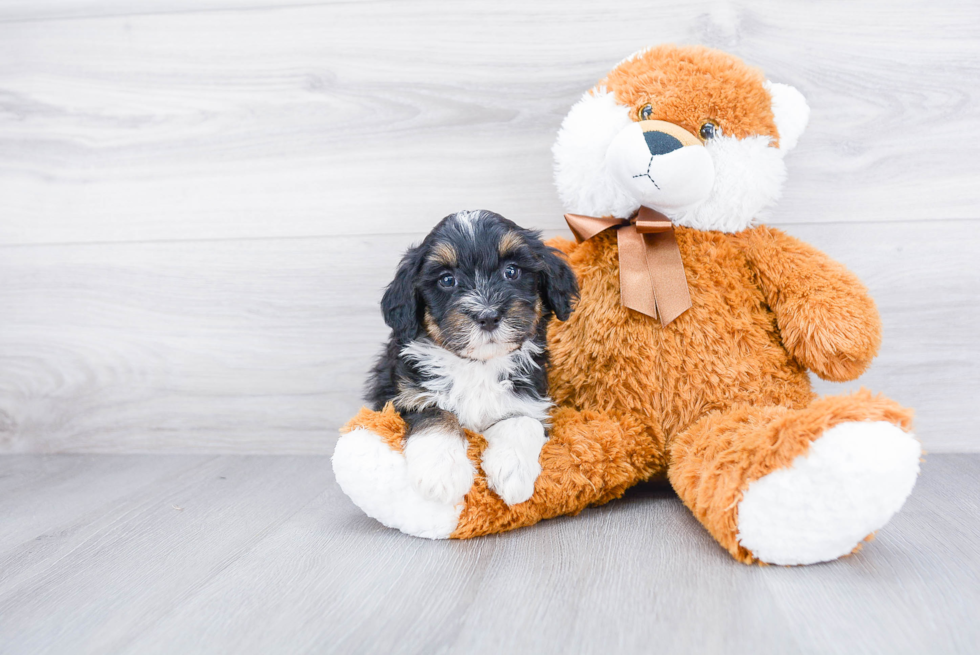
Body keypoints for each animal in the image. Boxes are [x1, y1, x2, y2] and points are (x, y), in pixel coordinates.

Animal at [370, 210, 580, 508]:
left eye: (512, 271)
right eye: (447, 280)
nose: (488, 316)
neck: (478, 365)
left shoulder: (532, 396)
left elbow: (523, 420)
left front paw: (513, 472)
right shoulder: (400, 395)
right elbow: (435, 412)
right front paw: (441, 472)